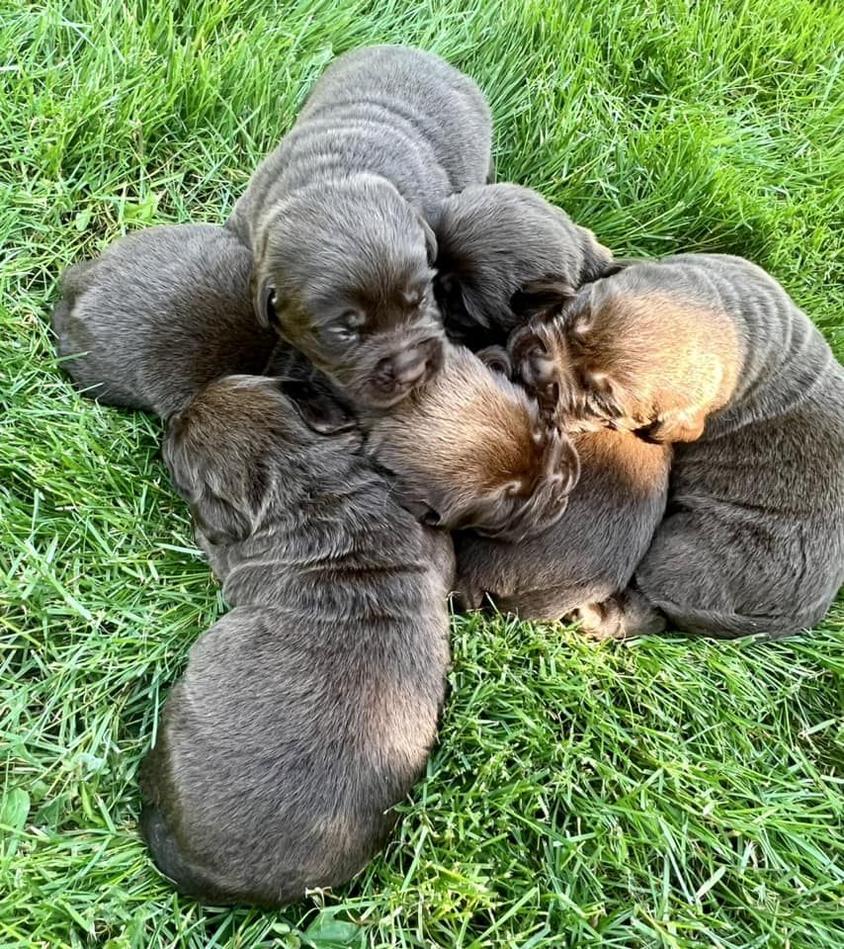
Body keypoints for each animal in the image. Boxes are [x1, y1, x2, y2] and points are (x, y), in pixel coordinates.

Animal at [512, 252, 844, 636]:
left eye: (602, 402)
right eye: (575, 316)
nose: (536, 369)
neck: (741, 332)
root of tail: (790, 621)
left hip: (684, 553)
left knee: (653, 604)